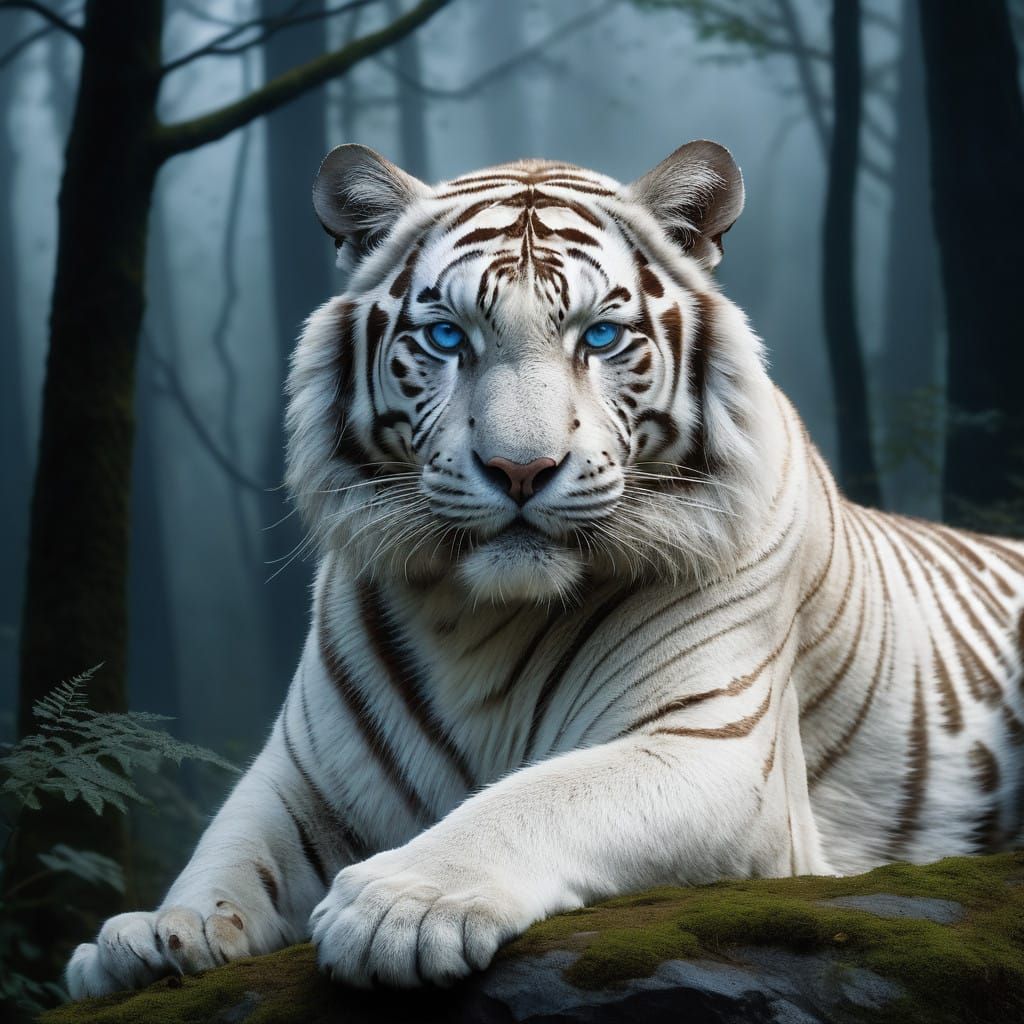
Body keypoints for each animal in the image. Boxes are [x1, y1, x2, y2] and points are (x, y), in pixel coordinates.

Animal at [67, 140, 1024, 998]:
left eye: (599, 336)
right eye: (446, 336)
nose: (520, 469)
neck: (479, 619)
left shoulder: (713, 748)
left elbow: (540, 798)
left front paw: (399, 905)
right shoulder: (303, 775)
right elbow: (230, 849)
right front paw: (154, 934)